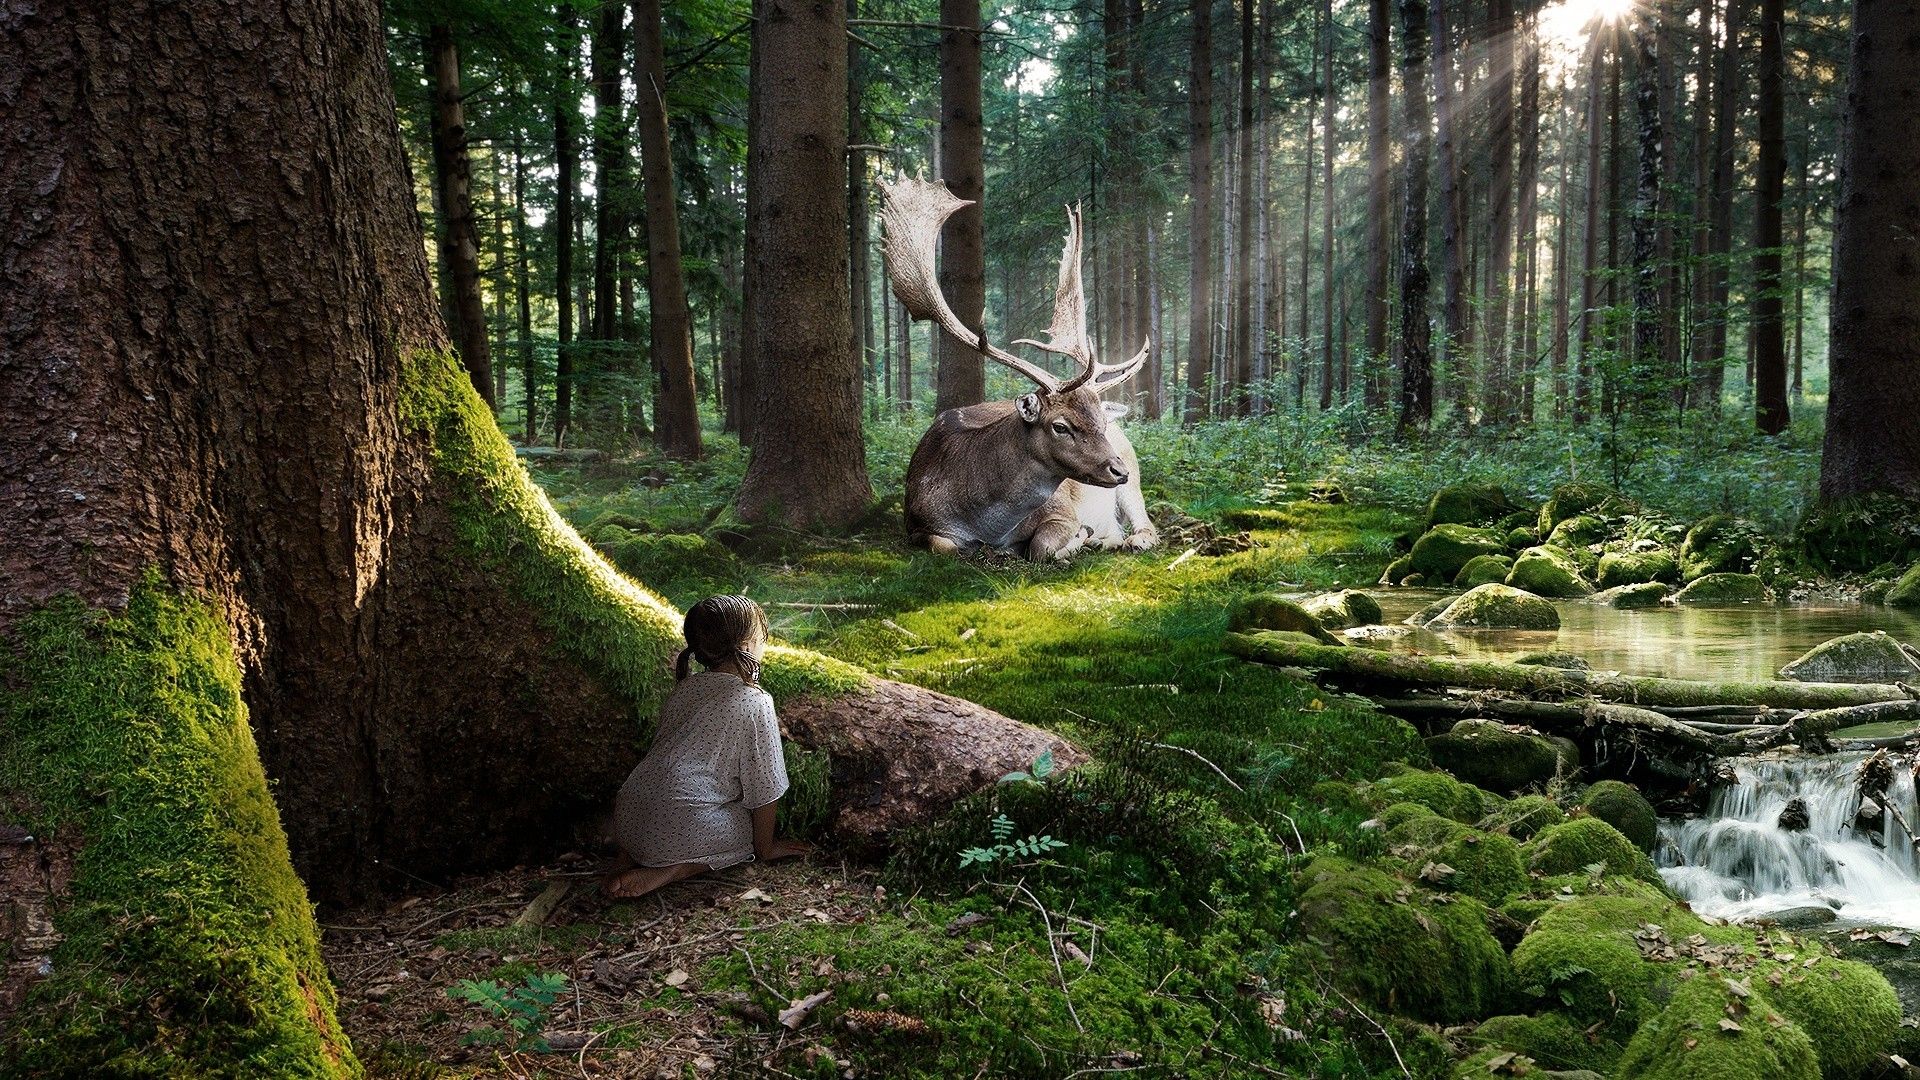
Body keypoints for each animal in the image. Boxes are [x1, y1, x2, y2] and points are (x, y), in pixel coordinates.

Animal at [880, 176, 1152, 561]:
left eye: (1100, 422)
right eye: (1060, 426)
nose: (1118, 470)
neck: (985, 525)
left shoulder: (1061, 509)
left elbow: (1041, 546)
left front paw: (1076, 539)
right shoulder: (916, 522)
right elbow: (944, 546)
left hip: (1133, 470)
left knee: (1145, 523)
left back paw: (1125, 538)